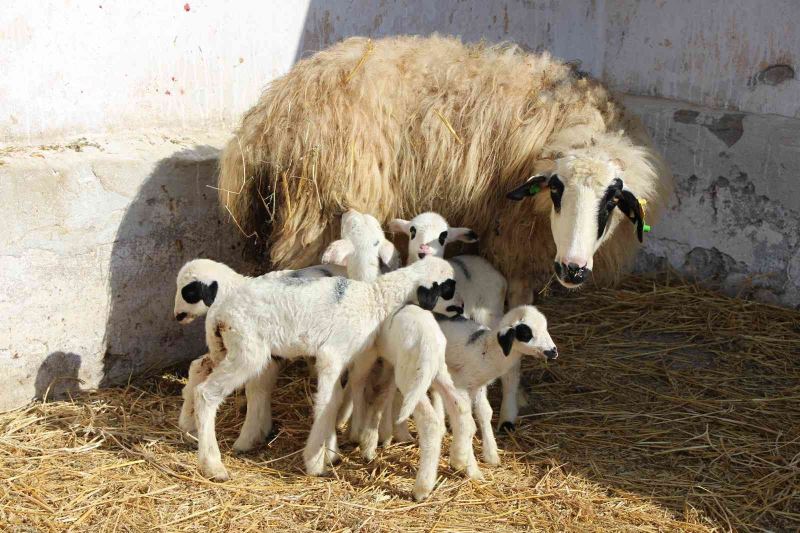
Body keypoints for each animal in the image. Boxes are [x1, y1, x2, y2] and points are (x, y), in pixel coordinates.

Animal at [192, 254, 456, 478]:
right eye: (448, 287)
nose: (460, 310)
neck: (375, 298)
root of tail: (218, 312)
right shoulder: (332, 354)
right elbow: (326, 402)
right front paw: (316, 462)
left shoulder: (341, 359)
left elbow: (336, 398)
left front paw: (330, 453)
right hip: (247, 350)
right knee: (206, 394)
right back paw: (213, 465)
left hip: (224, 348)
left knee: (204, 374)